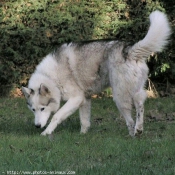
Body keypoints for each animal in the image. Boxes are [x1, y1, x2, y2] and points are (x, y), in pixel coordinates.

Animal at [21, 10, 171, 137]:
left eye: (42, 108)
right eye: (33, 110)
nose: (37, 126)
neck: (51, 78)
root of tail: (128, 49)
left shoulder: (76, 98)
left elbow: (57, 115)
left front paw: (46, 133)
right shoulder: (84, 99)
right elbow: (84, 121)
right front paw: (83, 135)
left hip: (119, 96)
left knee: (131, 118)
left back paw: (133, 134)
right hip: (134, 89)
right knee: (140, 105)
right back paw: (138, 130)